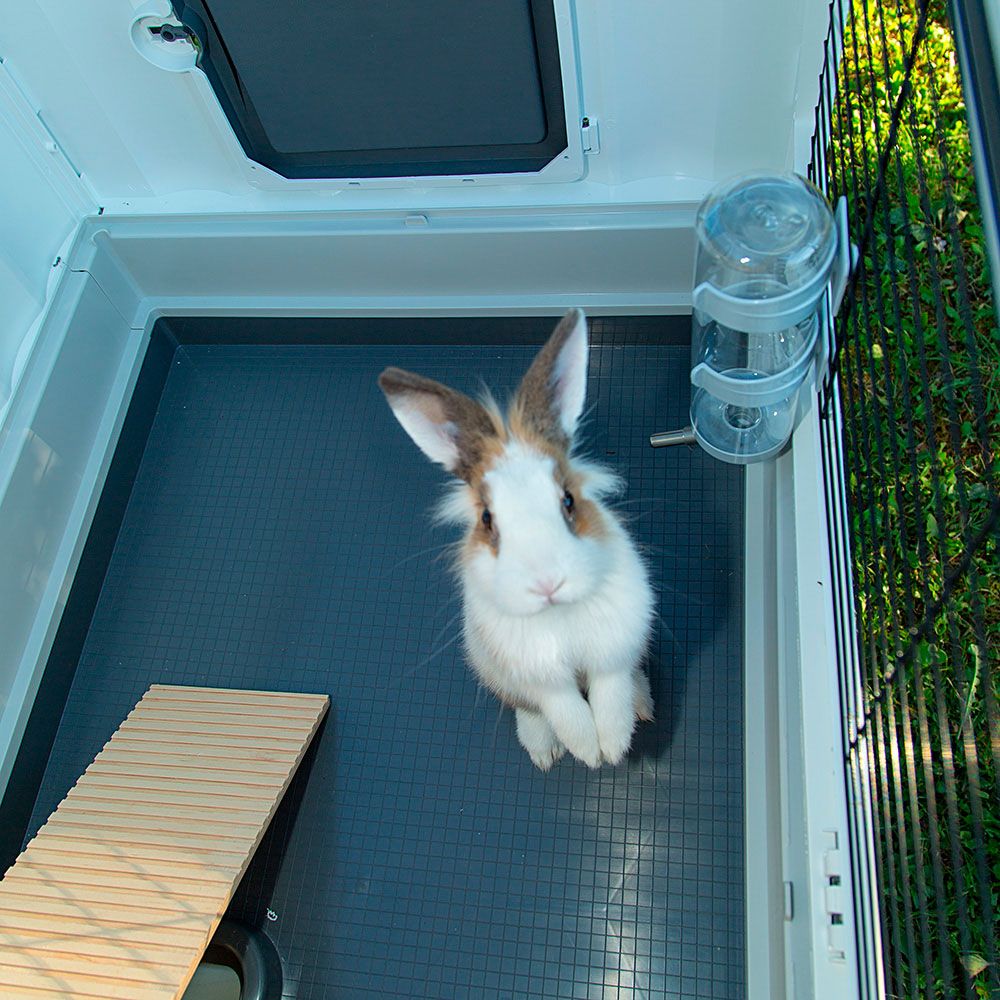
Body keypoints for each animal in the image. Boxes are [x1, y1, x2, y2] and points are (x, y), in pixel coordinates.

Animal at [378, 309, 654, 769]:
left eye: (568, 499)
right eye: (487, 519)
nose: (547, 584)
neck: (558, 614)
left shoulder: (614, 646)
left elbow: (610, 694)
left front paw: (614, 747)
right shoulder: (537, 672)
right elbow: (564, 708)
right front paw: (587, 752)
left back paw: (643, 705)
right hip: (492, 669)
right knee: (527, 708)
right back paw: (544, 752)